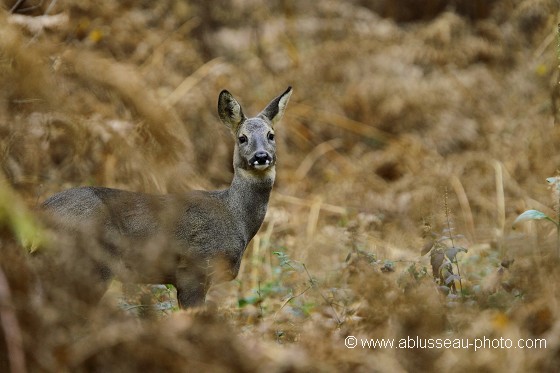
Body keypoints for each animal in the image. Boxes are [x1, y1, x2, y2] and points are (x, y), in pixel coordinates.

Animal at [41, 86, 294, 308]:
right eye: (242, 138)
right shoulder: (194, 270)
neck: (235, 217)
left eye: (271, 135)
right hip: (91, 264)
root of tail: (41, 210)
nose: (261, 156)